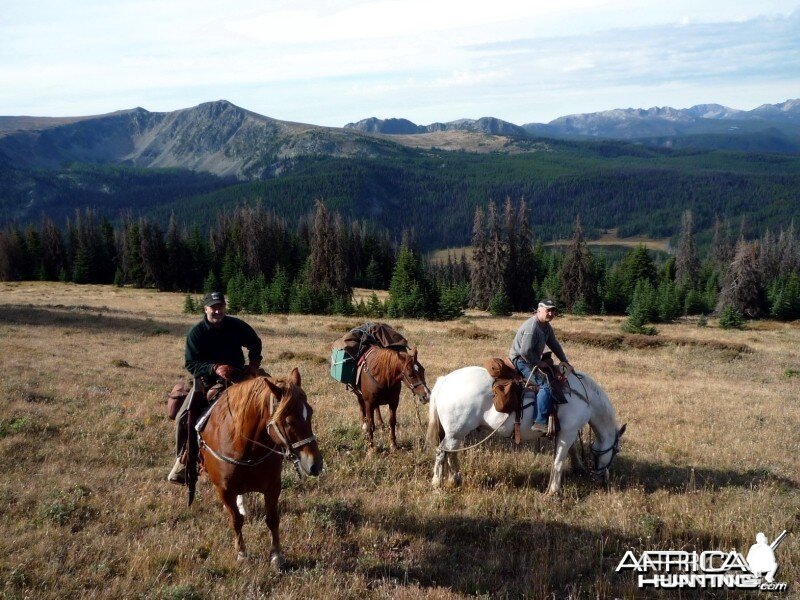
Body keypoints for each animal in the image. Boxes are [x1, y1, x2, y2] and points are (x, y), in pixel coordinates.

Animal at [199, 368, 322, 568]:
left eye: (310, 413)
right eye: (288, 421)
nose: (316, 464)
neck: (245, 448)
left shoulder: (273, 486)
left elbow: (272, 518)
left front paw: (276, 556)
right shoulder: (224, 490)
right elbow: (236, 520)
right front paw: (242, 553)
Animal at [424, 364, 624, 494]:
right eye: (615, 450)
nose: (603, 478)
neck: (584, 396)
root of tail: (445, 380)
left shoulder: (564, 432)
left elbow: (569, 452)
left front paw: (577, 467)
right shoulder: (567, 433)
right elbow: (559, 461)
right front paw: (554, 491)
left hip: (457, 434)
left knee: (452, 454)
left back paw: (456, 479)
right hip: (455, 432)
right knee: (442, 453)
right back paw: (437, 483)